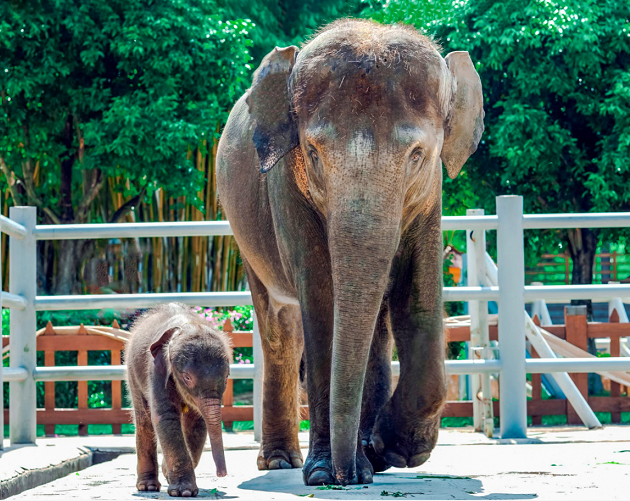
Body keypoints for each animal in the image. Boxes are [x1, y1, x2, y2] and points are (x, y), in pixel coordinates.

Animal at [126, 300, 232, 496]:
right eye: (187, 377)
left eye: (227, 377)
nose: (222, 475)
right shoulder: (157, 370)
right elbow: (166, 417)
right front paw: (184, 492)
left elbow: (197, 422)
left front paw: (169, 474)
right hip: (132, 371)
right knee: (144, 420)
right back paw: (147, 487)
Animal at [217, 19, 484, 484]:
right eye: (312, 152)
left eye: (418, 155)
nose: (347, 475)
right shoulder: (286, 189)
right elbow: (322, 301)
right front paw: (324, 473)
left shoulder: (431, 195)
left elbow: (418, 297)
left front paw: (394, 449)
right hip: (246, 238)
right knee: (281, 330)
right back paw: (283, 462)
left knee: (375, 327)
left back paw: (370, 459)